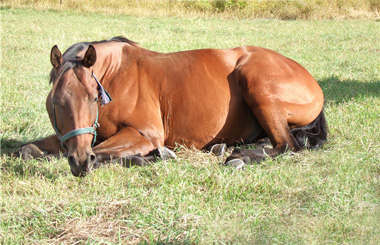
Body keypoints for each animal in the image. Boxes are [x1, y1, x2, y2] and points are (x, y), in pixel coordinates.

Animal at [17, 36, 326, 176]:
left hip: (257, 85)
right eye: (56, 102)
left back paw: (242, 157)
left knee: (287, 145)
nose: (79, 161)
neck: (116, 76)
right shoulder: (75, 137)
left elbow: (102, 153)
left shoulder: (144, 134)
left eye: (94, 97)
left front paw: (149, 157)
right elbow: (27, 150)